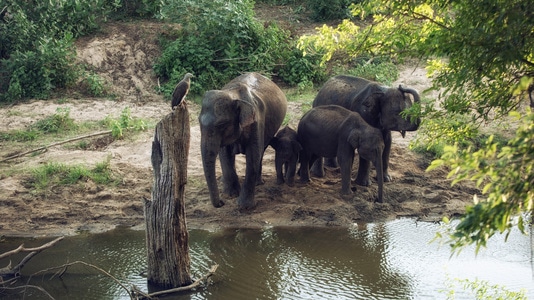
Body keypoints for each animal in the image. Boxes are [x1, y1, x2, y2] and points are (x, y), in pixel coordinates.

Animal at [200, 72, 288, 210]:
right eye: (199, 123)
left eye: (222, 125)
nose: (221, 203)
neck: (233, 93)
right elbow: (224, 154)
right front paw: (231, 195)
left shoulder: (257, 121)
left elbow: (253, 154)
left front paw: (245, 206)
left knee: (261, 151)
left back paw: (258, 183)